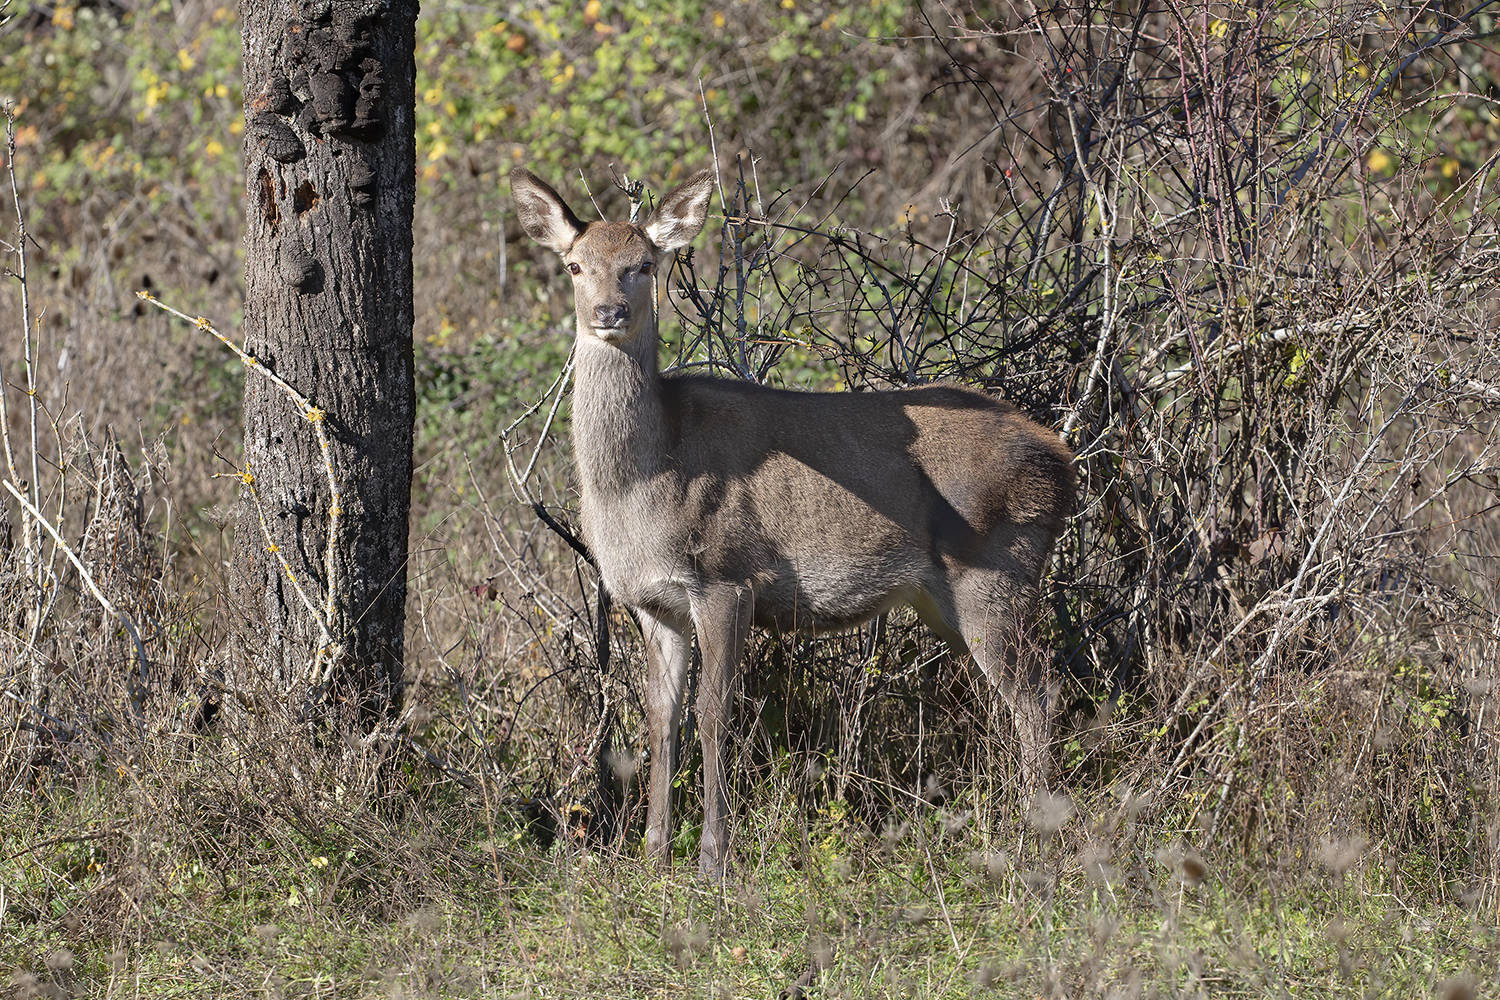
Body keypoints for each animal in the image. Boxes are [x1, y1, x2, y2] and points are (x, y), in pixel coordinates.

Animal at [511, 166, 1076, 876]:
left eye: (643, 264)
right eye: (575, 265)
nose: (608, 313)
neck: (645, 485)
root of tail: (1063, 460)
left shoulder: (727, 577)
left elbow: (713, 713)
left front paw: (713, 859)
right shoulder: (653, 602)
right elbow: (660, 719)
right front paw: (652, 853)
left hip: (999, 567)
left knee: (1038, 693)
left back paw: (1038, 837)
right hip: (945, 596)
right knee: (1017, 695)